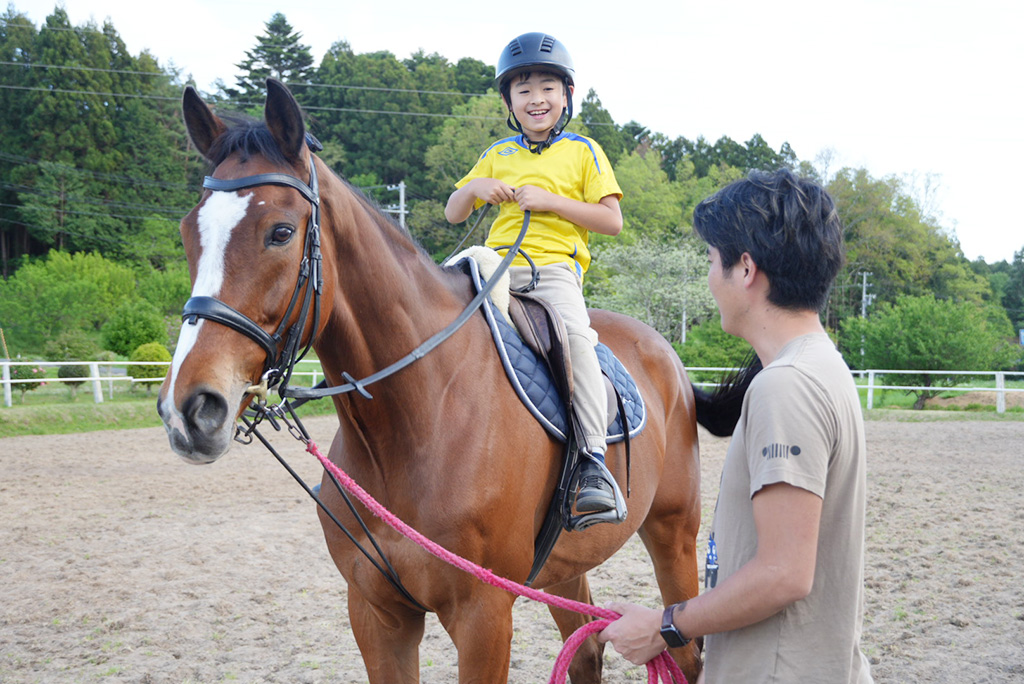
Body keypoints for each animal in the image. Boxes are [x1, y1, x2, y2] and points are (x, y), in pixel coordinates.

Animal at [158, 79, 745, 684]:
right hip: (565, 567)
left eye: (279, 232)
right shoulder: (376, 613)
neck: (419, 416)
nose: (191, 409)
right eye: (188, 233)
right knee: (583, 652)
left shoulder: (483, 613)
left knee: (686, 653)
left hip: (673, 532)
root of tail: (667, 356)